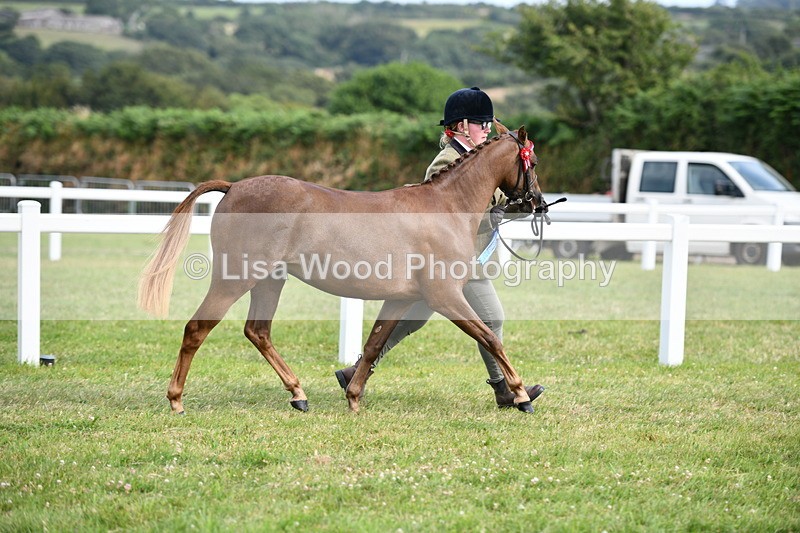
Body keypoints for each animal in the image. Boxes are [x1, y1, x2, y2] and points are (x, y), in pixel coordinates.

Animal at [138, 123, 544, 414]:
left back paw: (298, 394)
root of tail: (234, 187)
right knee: (197, 328)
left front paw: (353, 395)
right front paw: (521, 394)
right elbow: (489, 337)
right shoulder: (445, 297)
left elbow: (374, 343)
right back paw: (176, 399)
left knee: (258, 331)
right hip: (235, 278)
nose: (538, 203)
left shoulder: (401, 299)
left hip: (270, 280)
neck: (445, 208)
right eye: (534, 163)